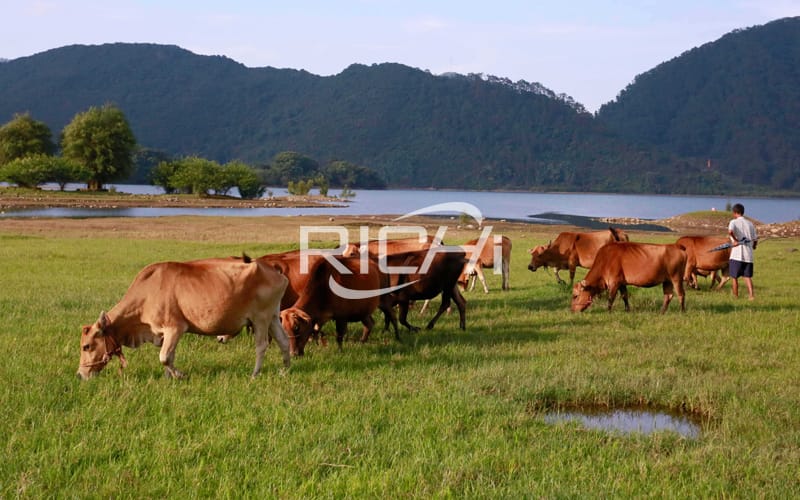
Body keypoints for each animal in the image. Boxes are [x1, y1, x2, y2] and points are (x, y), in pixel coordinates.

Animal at [77, 256, 290, 380]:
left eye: (86, 346)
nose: (80, 375)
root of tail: (274, 270)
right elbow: (169, 356)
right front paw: (168, 378)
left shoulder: (175, 328)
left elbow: (164, 357)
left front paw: (180, 375)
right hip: (272, 317)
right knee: (284, 341)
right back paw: (285, 369)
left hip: (260, 318)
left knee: (261, 346)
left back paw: (254, 374)